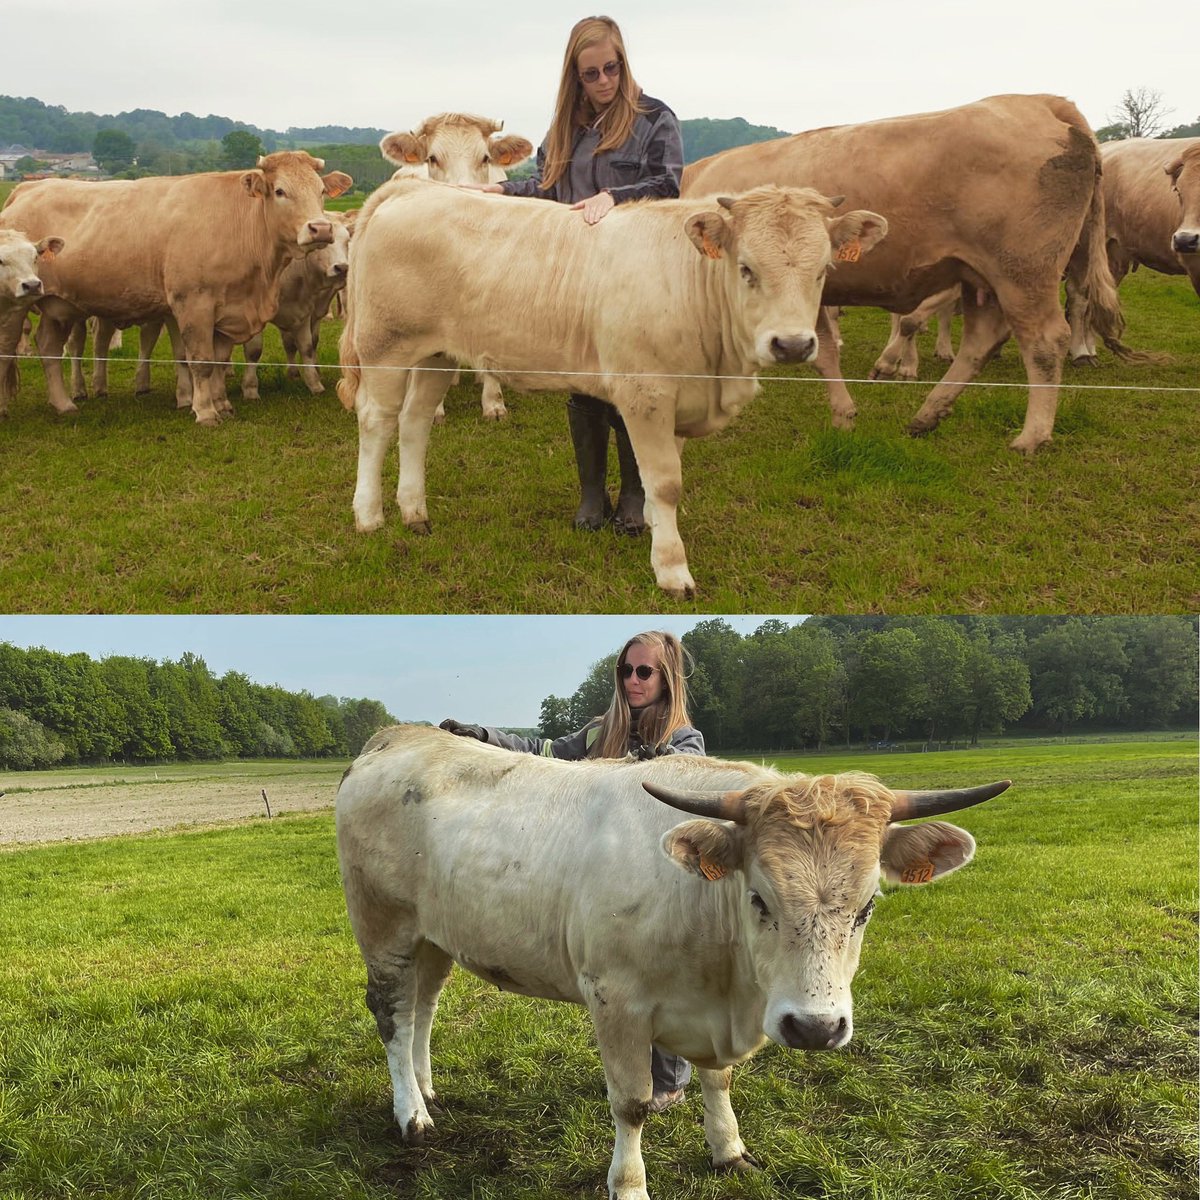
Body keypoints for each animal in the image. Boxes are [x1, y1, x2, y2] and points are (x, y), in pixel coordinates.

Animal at [336, 723, 1010, 1200]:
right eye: (758, 897)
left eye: (867, 906)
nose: (816, 1028)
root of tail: (399, 735)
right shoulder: (615, 999)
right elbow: (631, 1103)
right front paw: (629, 1185)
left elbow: (719, 1080)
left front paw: (729, 1150)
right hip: (384, 928)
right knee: (394, 1016)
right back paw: (412, 1116)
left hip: (435, 935)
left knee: (424, 1006)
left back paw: (427, 1090)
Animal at [337, 178, 887, 597]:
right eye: (746, 267)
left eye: (823, 270)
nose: (792, 345)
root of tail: (415, 186)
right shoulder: (645, 391)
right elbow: (665, 482)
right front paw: (673, 569)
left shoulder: (679, 398)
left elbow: (655, 478)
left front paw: (647, 527)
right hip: (385, 346)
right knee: (377, 423)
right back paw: (369, 515)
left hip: (437, 354)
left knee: (414, 423)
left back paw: (415, 512)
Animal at [682, 94, 1136, 454]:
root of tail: (1041, 101)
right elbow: (825, 350)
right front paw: (844, 415)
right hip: (981, 279)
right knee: (981, 340)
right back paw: (927, 414)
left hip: (1023, 274)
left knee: (1043, 342)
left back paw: (1032, 436)